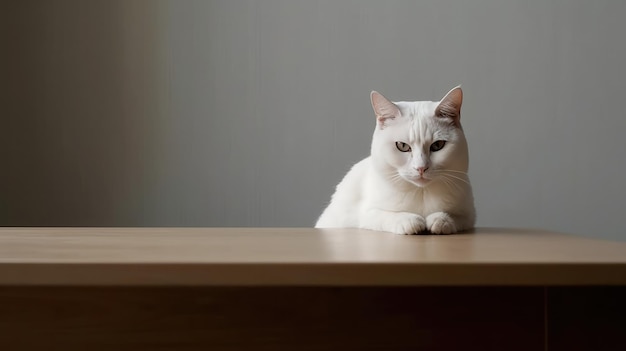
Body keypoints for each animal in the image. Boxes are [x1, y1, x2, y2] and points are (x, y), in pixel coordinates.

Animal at [316, 86, 472, 235]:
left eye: (437, 145)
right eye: (402, 146)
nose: (421, 168)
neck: (421, 192)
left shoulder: (469, 215)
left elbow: (456, 218)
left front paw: (440, 220)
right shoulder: (365, 215)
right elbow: (387, 215)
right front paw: (411, 221)